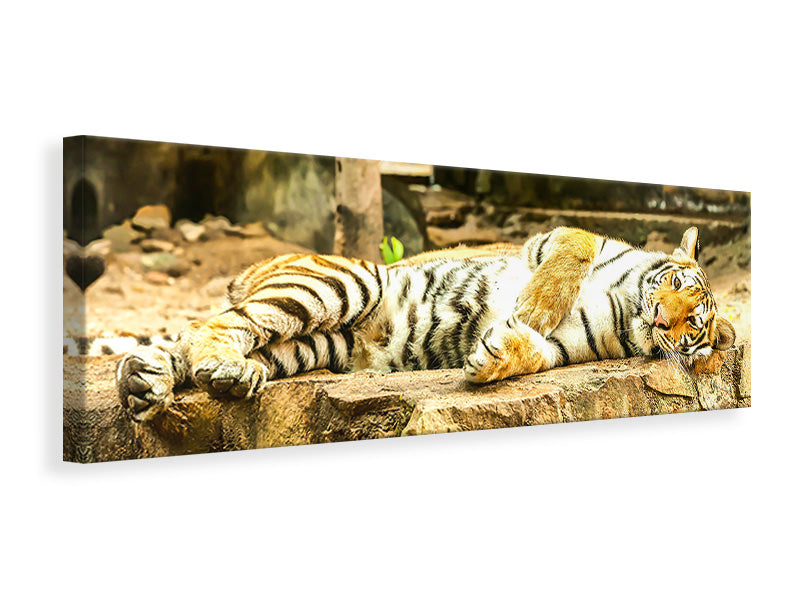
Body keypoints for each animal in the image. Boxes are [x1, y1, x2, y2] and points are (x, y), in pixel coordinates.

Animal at [115, 225, 736, 422]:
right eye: (676, 284)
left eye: (692, 326)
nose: (663, 317)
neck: (627, 305)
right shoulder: (550, 239)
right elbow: (575, 248)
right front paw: (535, 305)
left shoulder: (567, 347)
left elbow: (534, 352)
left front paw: (492, 357)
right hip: (347, 281)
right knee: (210, 325)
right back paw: (210, 371)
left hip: (319, 344)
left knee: (210, 340)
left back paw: (151, 384)